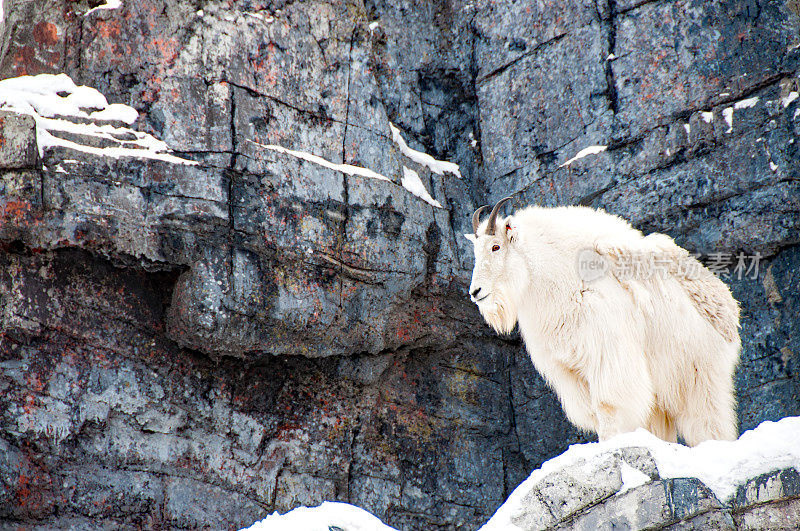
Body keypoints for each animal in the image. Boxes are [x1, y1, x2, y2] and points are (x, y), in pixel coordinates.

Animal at [466, 197, 740, 446]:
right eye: (476, 251)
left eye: (496, 247)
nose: (475, 292)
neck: (560, 279)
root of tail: (728, 310)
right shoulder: (571, 371)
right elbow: (594, 413)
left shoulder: (607, 355)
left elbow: (606, 406)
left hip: (700, 377)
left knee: (708, 421)